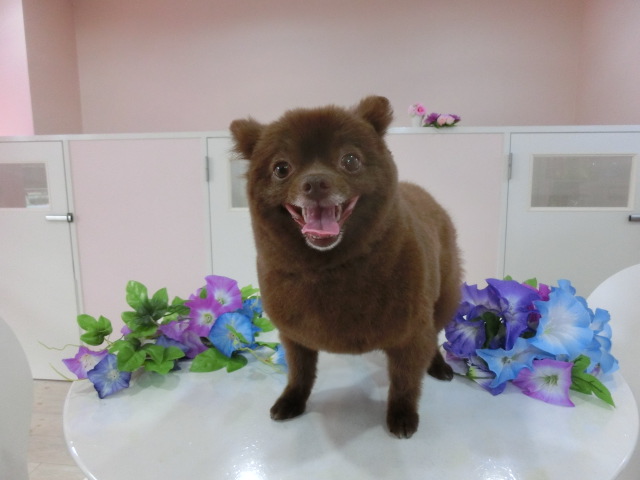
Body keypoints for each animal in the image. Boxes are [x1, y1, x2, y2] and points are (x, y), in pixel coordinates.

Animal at [230, 95, 462, 438]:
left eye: (350, 160)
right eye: (281, 168)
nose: (315, 182)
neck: (331, 268)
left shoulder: (412, 332)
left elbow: (405, 380)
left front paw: (402, 414)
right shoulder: (294, 335)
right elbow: (300, 372)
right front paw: (292, 400)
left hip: (445, 298)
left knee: (435, 335)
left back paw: (439, 366)